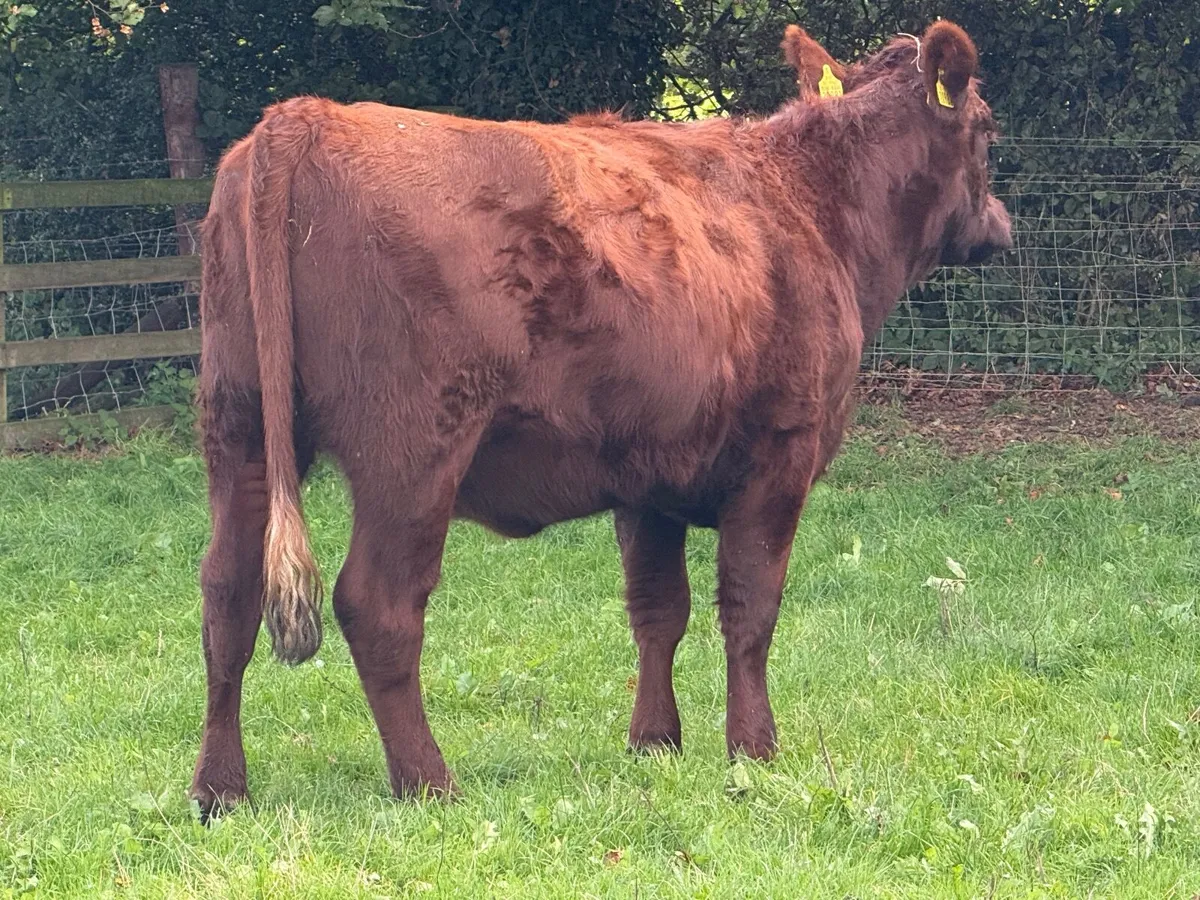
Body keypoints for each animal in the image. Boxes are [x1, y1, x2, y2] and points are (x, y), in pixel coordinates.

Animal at [191, 20, 1012, 816]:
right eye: (986, 129)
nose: (1000, 224)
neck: (810, 202)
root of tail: (307, 115)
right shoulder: (782, 452)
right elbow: (750, 609)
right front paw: (754, 748)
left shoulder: (650, 474)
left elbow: (658, 609)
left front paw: (654, 742)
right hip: (414, 448)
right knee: (377, 604)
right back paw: (430, 784)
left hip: (238, 427)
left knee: (227, 593)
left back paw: (220, 788)